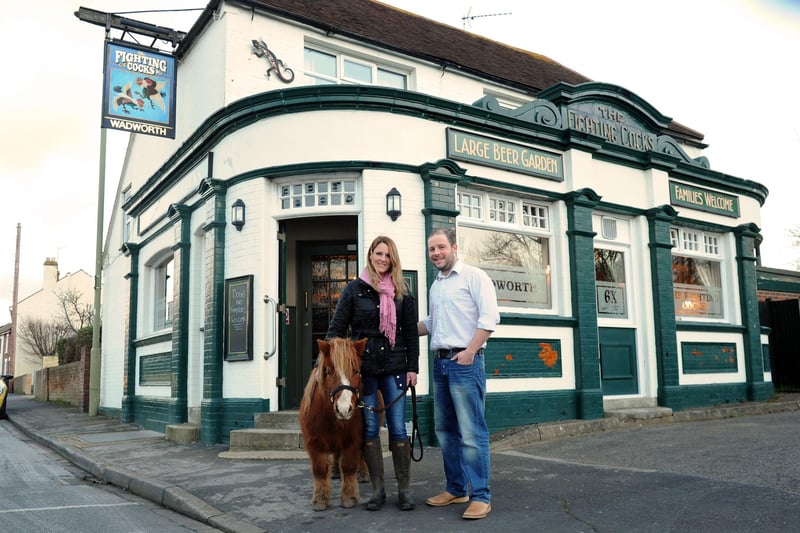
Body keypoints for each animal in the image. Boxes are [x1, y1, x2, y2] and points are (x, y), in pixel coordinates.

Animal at [298, 338, 368, 510]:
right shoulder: (312, 442)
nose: (344, 409)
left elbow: (349, 466)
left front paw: (349, 497)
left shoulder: (353, 439)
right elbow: (319, 469)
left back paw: (362, 473)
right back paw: (335, 471)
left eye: (356, 371)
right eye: (328, 371)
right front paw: (320, 499)